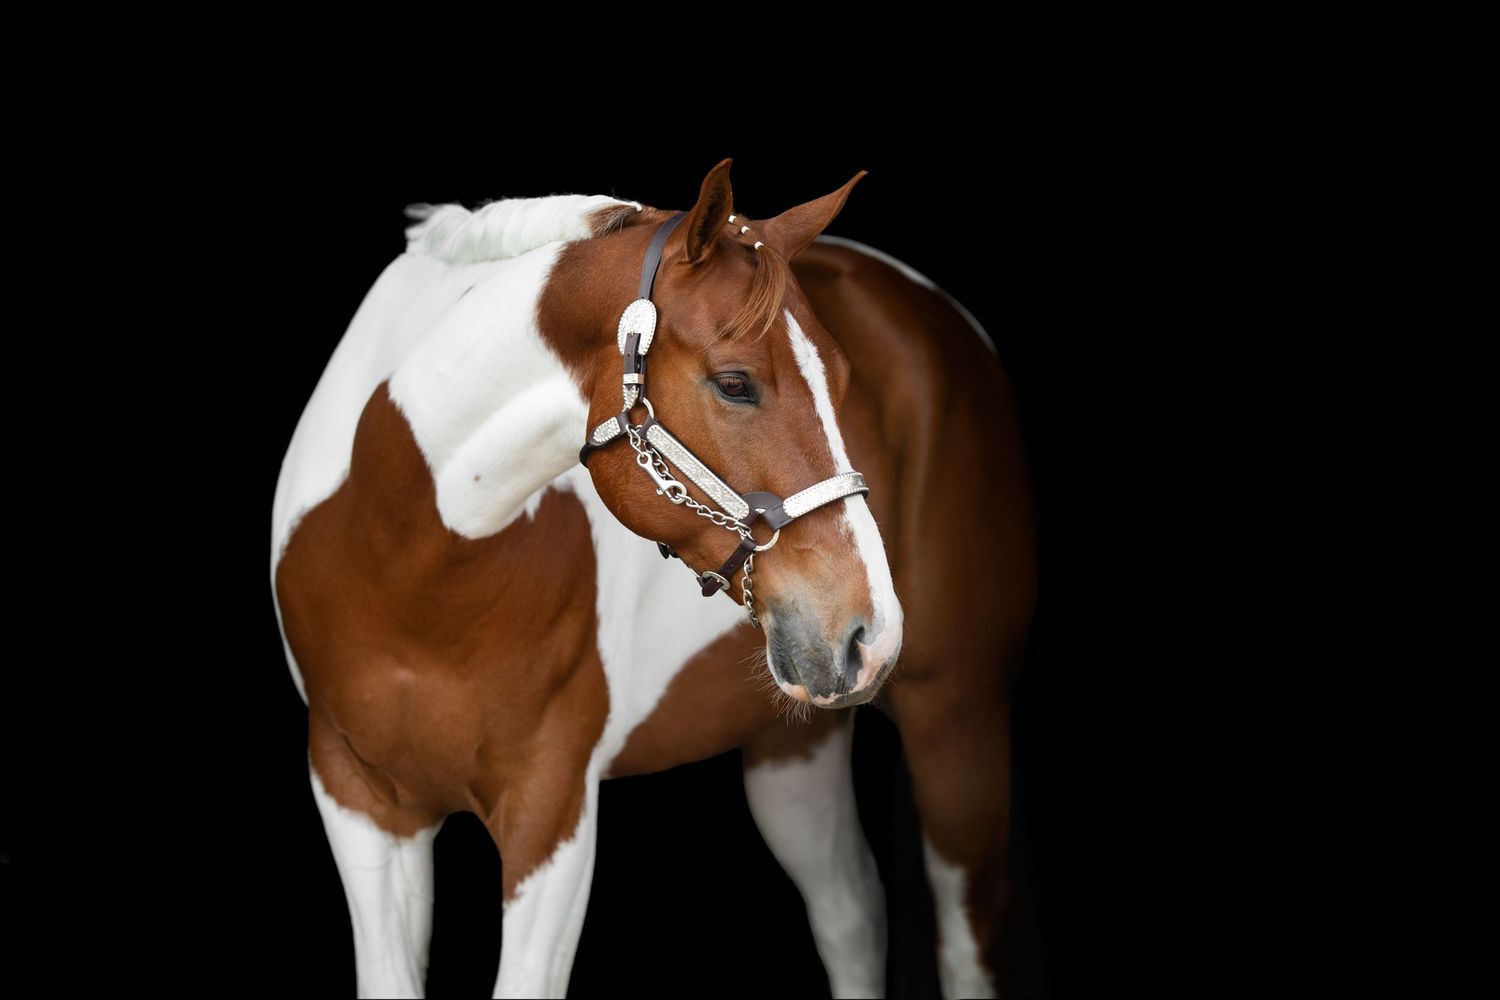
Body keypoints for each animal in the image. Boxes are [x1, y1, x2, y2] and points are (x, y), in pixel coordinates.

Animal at [271, 159, 1035, 998]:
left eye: (842, 378)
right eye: (734, 383)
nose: (871, 631)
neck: (403, 560)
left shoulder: (552, 812)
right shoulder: (356, 798)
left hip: (955, 720)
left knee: (963, 948)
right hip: (792, 746)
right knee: (853, 916)